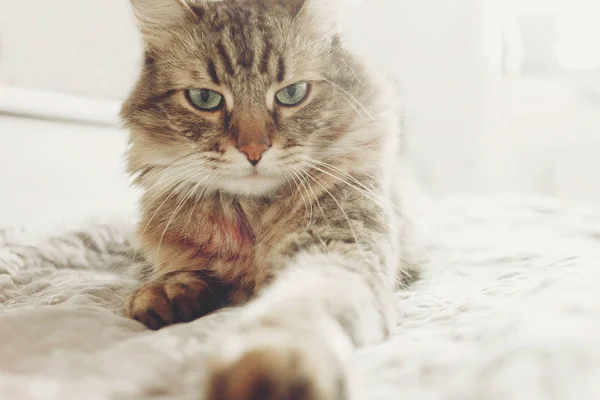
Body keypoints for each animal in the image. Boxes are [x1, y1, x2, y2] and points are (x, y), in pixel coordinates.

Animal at [120, 0, 422, 398]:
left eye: (291, 94)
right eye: (205, 99)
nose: (253, 151)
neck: (253, 217)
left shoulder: (339, 244)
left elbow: (301, 302)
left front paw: (270, 362)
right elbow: (180, 271)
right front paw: (167, 292)